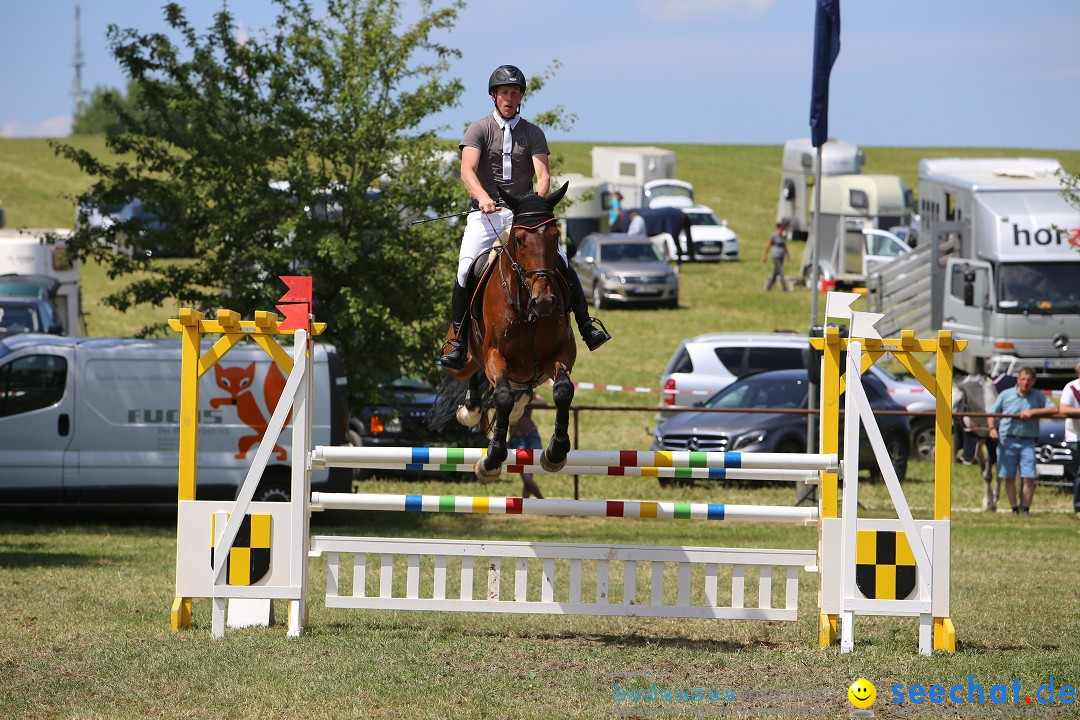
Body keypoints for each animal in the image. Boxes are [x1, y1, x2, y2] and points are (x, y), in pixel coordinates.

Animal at [440, 183, 574, 481]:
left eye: (555, 236)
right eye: (520, 240)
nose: (544, 302)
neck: (527, 309)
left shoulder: (560, 354)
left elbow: (563, 391)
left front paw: (556, 452)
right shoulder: (495, 355)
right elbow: (501, 397)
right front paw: (491, 460)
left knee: (522, 390)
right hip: (462, 359)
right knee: (471, 370)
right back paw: (470, 408)